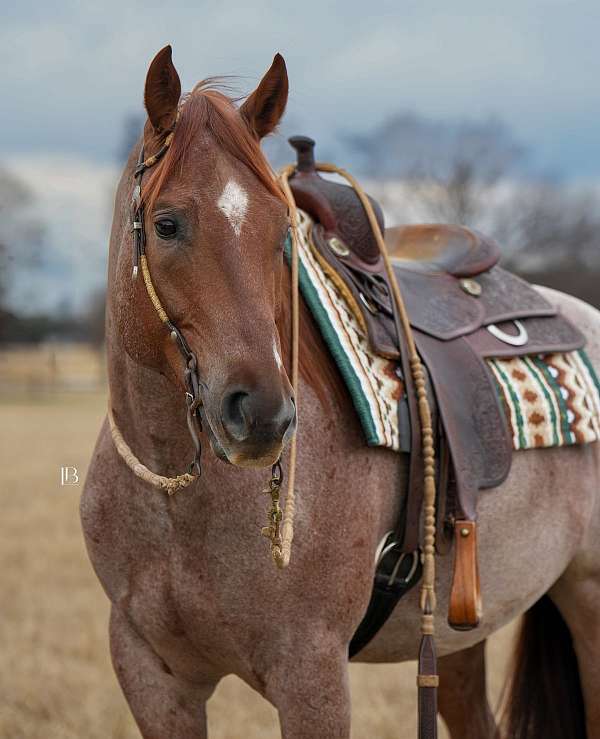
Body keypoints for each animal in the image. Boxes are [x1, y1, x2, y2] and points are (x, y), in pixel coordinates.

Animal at [81, 45, 600, 739]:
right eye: (166, 225)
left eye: (282, 232)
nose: (262, 415)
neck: (178, 502)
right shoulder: (151, 674)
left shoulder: (312, 673)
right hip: (460, 637)